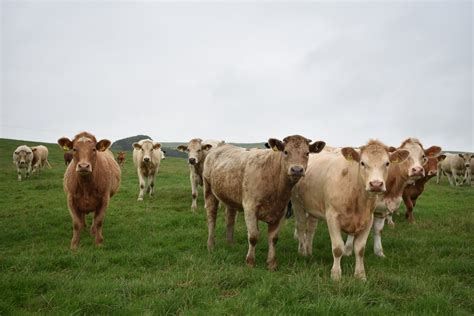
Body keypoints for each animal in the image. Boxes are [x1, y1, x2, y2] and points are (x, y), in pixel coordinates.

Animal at [202, 135, 324, 270]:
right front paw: (250, 261)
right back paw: (210, 245)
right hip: (209, 190)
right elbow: (253, 236)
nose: (297, 169)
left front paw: (272, 263)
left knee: (230, 218)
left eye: (307, 153)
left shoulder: (281, 211)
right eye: (286, 152)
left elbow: (273, 238)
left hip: (230, 197)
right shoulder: (250, 207)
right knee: (211, 217)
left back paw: (230, 243)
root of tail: (220, 146)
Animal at [290, 139, 410, 280]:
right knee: (301, 226)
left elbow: (360, 249)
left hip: (313, 207)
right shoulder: (332, 217)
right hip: (297, 204)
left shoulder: (368, 219)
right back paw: (302, 251)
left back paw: (309, 251)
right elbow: (337, 248)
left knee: (311, 229)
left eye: (387, 163)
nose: (376, 184)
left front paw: (360, 275)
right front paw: (336, 275)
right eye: (362, 163)